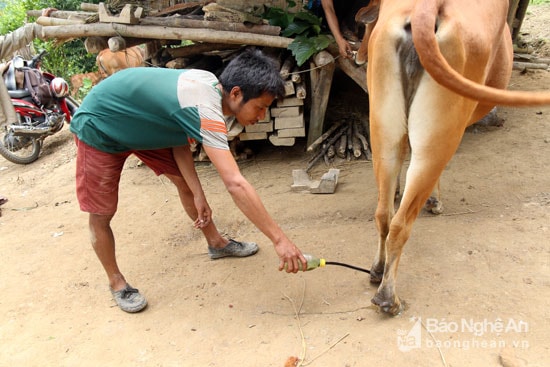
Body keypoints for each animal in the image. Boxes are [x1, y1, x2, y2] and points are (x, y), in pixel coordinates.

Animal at [354, 0, 550, 316]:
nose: (359, 57)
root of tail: (425, 9)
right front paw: (435, 200)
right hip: (441, 133)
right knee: (401, 223)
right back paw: (388, 297)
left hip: (384, 129)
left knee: (383, 213)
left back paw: (377, 270)